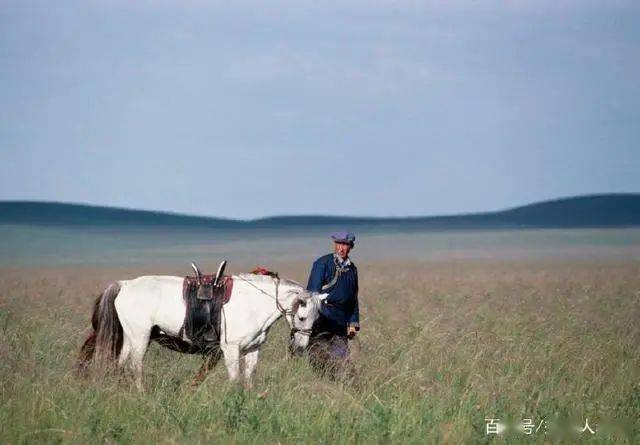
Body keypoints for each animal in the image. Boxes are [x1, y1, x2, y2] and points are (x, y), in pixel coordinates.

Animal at [77, 268, 322, 388]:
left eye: (316, 318)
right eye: (301, 317)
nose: (301, 348)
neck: (253, 303)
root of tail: (124, 284)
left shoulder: (253, 349)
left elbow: (249, 377)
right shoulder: (230, 349)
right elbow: (235, 379)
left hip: (130, 337)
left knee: (120, 364)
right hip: (140, 337)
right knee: (134, 366)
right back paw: (140, 393)